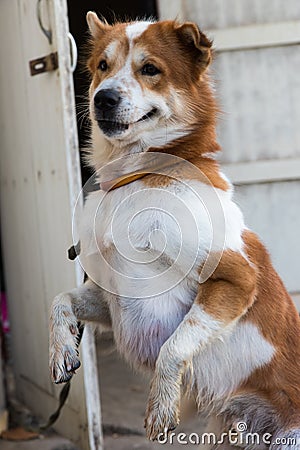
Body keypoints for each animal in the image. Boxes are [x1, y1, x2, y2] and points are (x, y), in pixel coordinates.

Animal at [49, 12, 300, 448]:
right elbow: (60, 300)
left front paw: (162, 404)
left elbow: (174, 344)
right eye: (102, 66)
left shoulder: (236, 279)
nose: (103, 98)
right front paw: (63, 348)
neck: (139, 176)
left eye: (150, 69)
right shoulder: (111, 296)